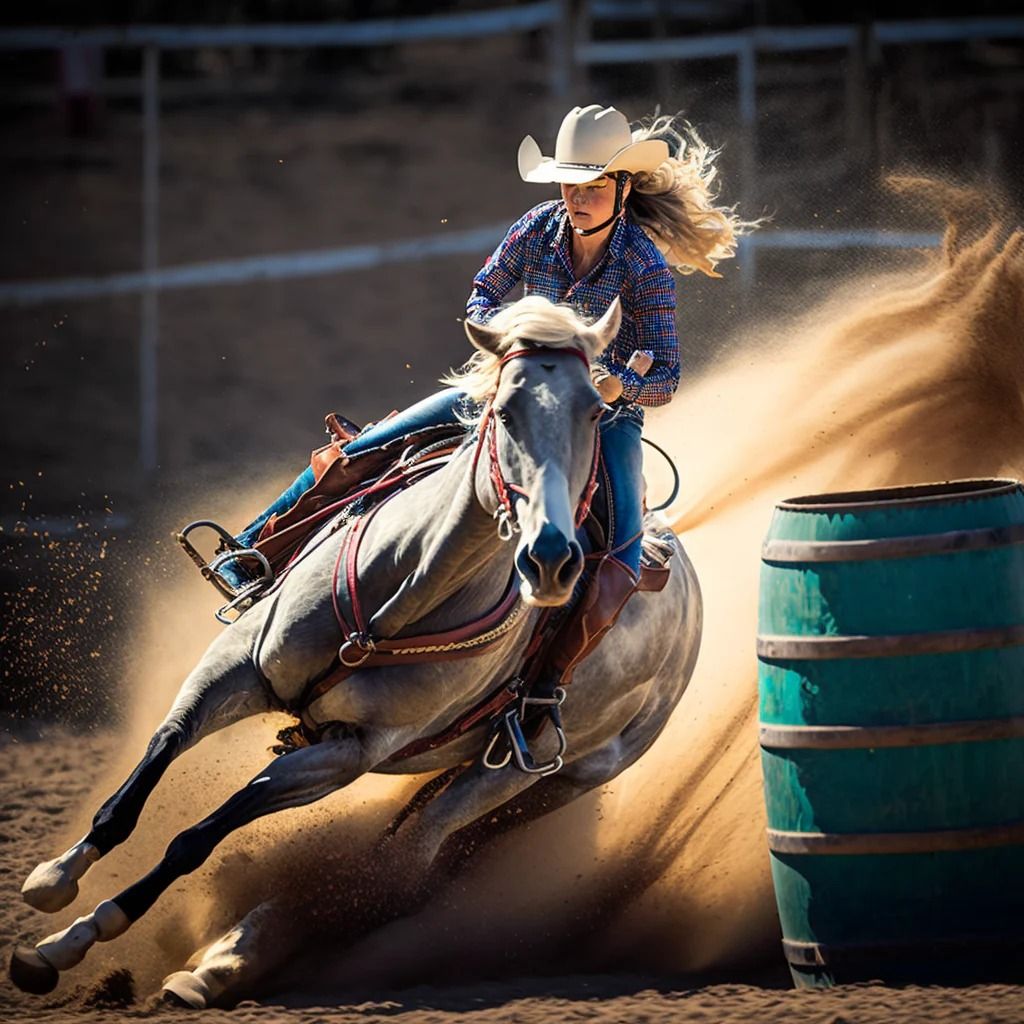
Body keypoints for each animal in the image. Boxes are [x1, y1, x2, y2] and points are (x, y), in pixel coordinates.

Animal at [12, 294, 704, 999]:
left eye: (593, 410)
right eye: (505, 410)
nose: (551, 558)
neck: (401, 593)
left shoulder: (348, 752)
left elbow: (198, 837)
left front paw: (87, 932)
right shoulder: (231, 671)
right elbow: (143, 777)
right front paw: (52, 892)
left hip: (535, 784)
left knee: (400, 868)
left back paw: (219, 966)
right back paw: (215, 961)